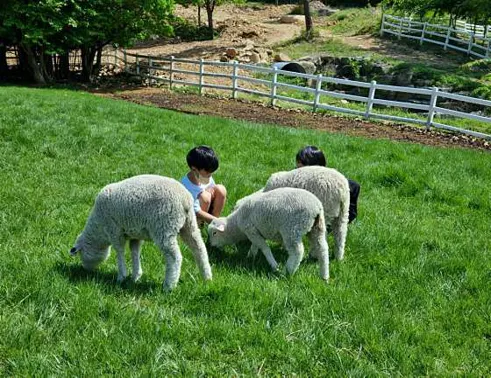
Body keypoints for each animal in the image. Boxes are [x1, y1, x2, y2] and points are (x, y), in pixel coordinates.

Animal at [69, 174, 213, 290]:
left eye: (81, 254)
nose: (86, 270)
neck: (99, 229)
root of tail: (185, 199)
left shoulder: (114, 231)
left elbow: (119, 251)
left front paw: (121, 276)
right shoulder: (135, 235)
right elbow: (135, 252)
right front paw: (135, 276)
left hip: (164, 227)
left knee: (174, 257)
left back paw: (169, 286)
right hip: (189, 224)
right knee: (199, 248)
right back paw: (207, 278)